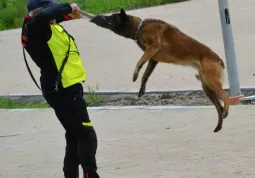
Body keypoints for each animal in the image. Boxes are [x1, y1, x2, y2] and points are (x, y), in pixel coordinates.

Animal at [90, 9, 230, 133]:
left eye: (111, 18)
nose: (96, 17)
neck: (139, 28)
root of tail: (218, 59)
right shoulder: (152, 60)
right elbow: (145, 75)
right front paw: (141, 89)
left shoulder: (153, 48)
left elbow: (138, 63)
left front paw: (134, 75)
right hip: (207, 88)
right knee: (219, 107)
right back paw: (218, 126)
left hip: (210, 82)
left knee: (225, 97)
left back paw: (226, 111)